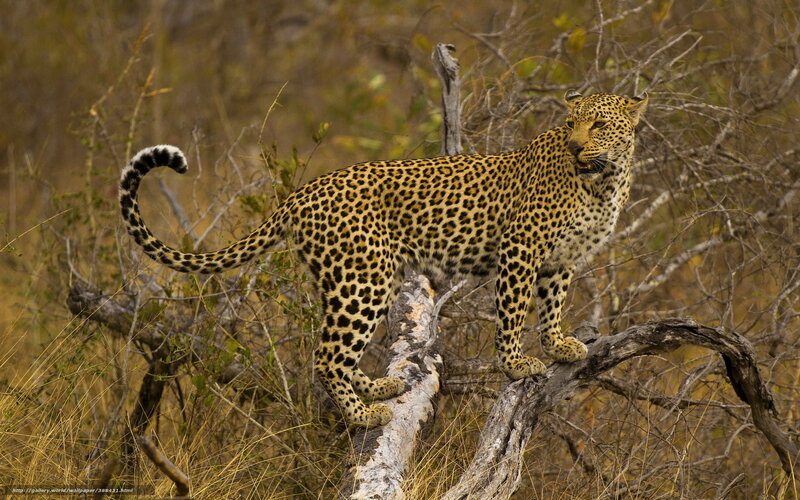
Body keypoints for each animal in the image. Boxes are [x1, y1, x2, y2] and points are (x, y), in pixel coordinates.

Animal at [119, 90, 648, 428]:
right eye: (571, 125)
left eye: (598, 124)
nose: (576, 146)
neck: (604, 179)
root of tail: (302, 193)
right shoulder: (522, 247)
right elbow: (514, 312)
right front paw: (518, 365)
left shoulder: (561, 258)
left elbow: (552, 304)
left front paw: (559, 345)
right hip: (363, 280)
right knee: (326, 356)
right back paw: (363, 415)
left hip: (357, 279)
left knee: (338, 350)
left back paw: (376, 391)